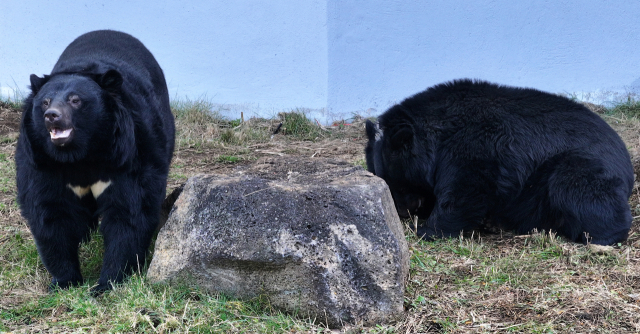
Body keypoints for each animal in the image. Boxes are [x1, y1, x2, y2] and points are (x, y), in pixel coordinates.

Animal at [15, 30, 175, 292]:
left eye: (75, 100)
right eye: (45, 102)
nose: (51, 116)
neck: (81, 155)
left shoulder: (129, 155)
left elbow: (130, 211)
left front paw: (107, 283)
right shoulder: (42, 161)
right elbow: (51, 212)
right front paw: (64, 281)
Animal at [368, 78, 632, 245]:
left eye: (397, 182)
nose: (402, 211)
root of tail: (627, 163)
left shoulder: (475, 146)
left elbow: (465, 190)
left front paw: (426, 230)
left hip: (577, 168)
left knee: (580, 190)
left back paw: (598, 237)